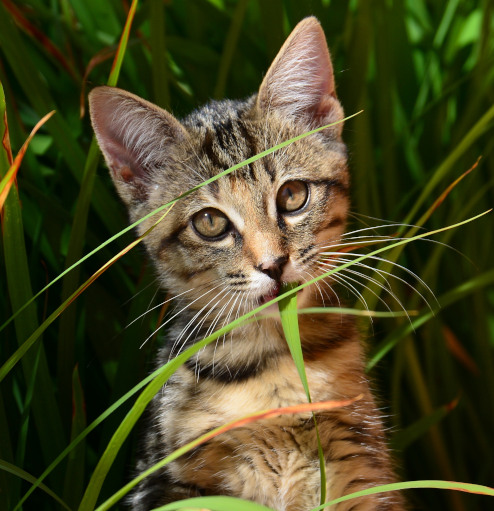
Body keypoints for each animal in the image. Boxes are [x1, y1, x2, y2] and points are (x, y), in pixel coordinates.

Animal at [89, 16, 406, 511]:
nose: (273, 264)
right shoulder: (171, 481)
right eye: (210, 223)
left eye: (292, 195)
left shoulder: (361, 465)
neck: (276, 365)